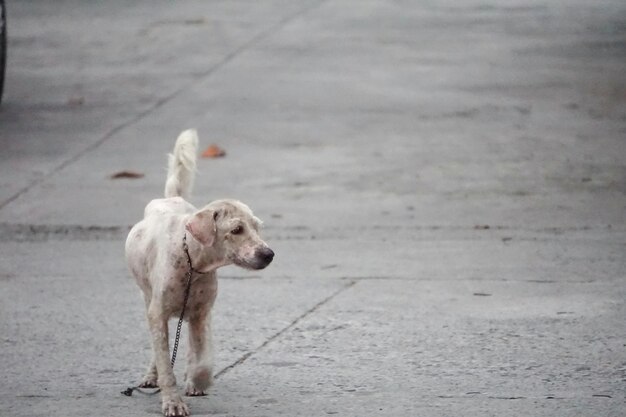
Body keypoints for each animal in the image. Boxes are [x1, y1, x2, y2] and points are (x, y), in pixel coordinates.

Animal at [124, 128, 272, 414]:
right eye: (237, 230)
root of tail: (170, 197)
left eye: (257, 227)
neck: (192, 262)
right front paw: (172, 401)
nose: (269, 254)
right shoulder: (158, 313)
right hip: (147, 298)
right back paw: (151, 376)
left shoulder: (201, 313)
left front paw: (197, 380)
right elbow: (165, 362)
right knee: (156, 349)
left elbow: (203, 358)